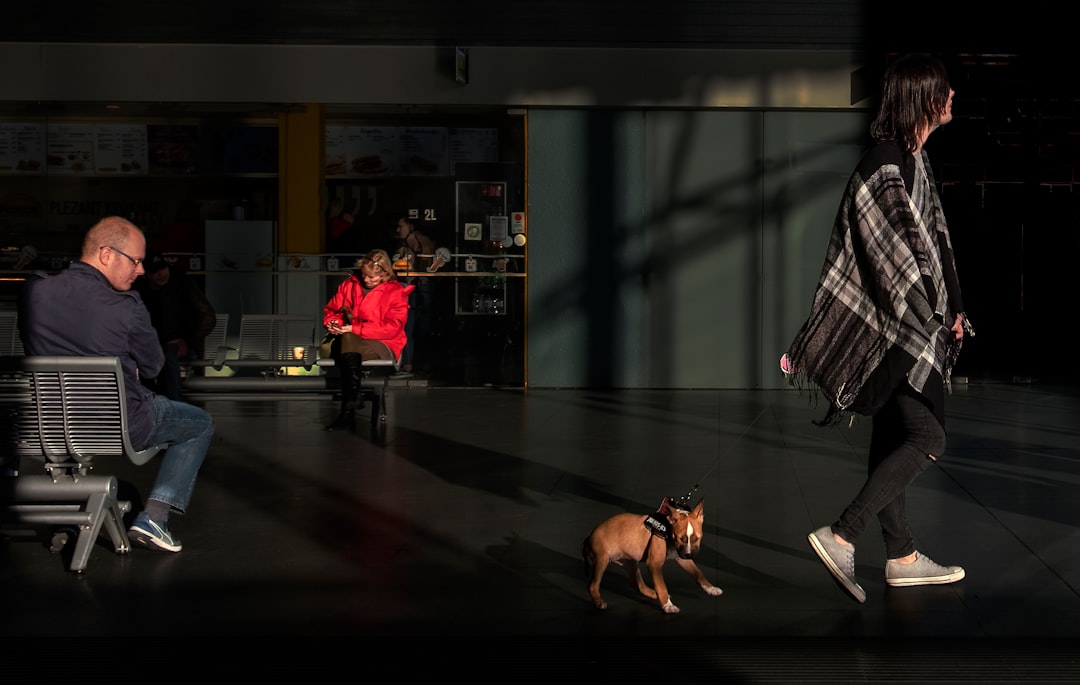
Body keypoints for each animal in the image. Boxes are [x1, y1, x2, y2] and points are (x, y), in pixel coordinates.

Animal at [578, 492, 721, 609]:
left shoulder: (682, 558)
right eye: (681, 538)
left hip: (630, 564)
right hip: (601, 560)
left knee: (637, 585)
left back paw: (653, 594)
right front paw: (667, 606)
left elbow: (698, 573)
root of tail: (588, 537)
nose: (689, 554)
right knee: (592, 585)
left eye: (697, 538)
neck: (668, 528)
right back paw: (598, 601)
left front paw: (710, 588)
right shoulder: (654, 564)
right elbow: (661, 585)